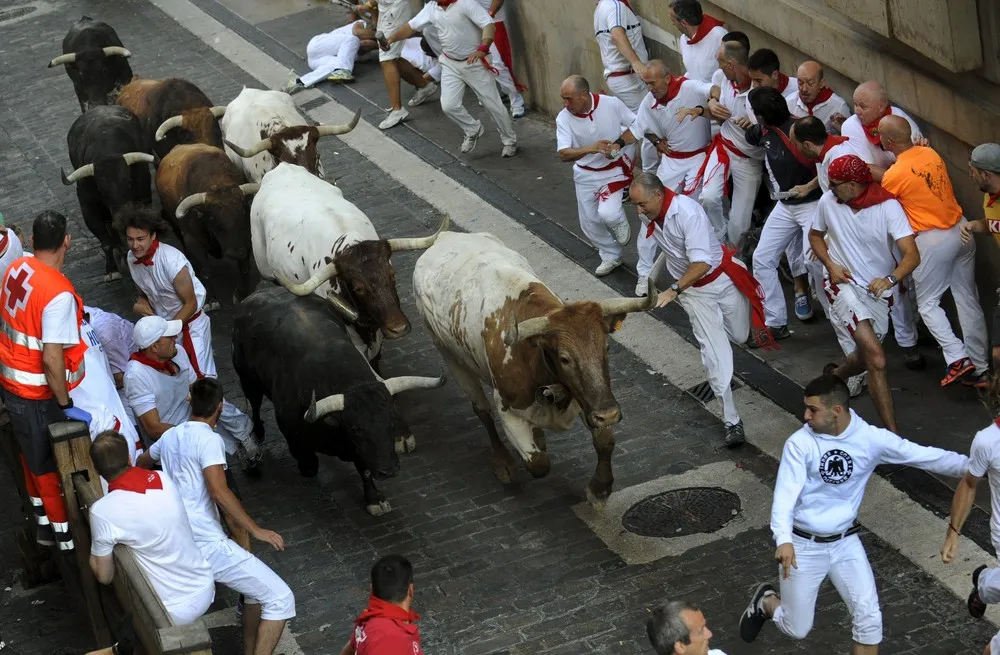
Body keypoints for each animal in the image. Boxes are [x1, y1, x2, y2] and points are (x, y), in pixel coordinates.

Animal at [410, 232, 652, 508]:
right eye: (564, 358)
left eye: (607, 348)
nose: (609, 413)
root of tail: (445, 236)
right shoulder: (508, 410)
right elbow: (538, 464)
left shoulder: (587, 397)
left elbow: (605, 442)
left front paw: (599, 489)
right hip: (450, 356)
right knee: (482, 411)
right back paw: (502, 461)